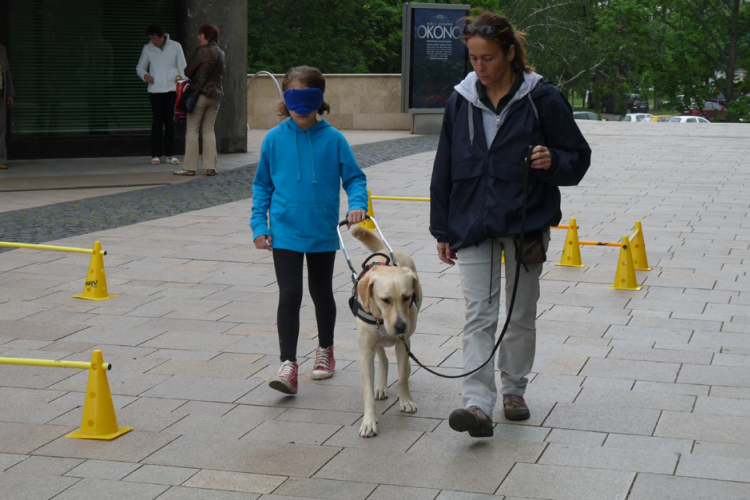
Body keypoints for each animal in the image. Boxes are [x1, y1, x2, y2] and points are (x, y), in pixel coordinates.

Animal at [348, 225, 420, 436]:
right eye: (385, 300)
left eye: (406, 297)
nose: (400, 326)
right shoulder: (365, 351)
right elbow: (367, 391)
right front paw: (369, 422)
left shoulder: (402, 344)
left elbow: (402, 378)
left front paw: (406, 401)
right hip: (374, 341)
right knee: (383, 358)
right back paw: (380, 386)